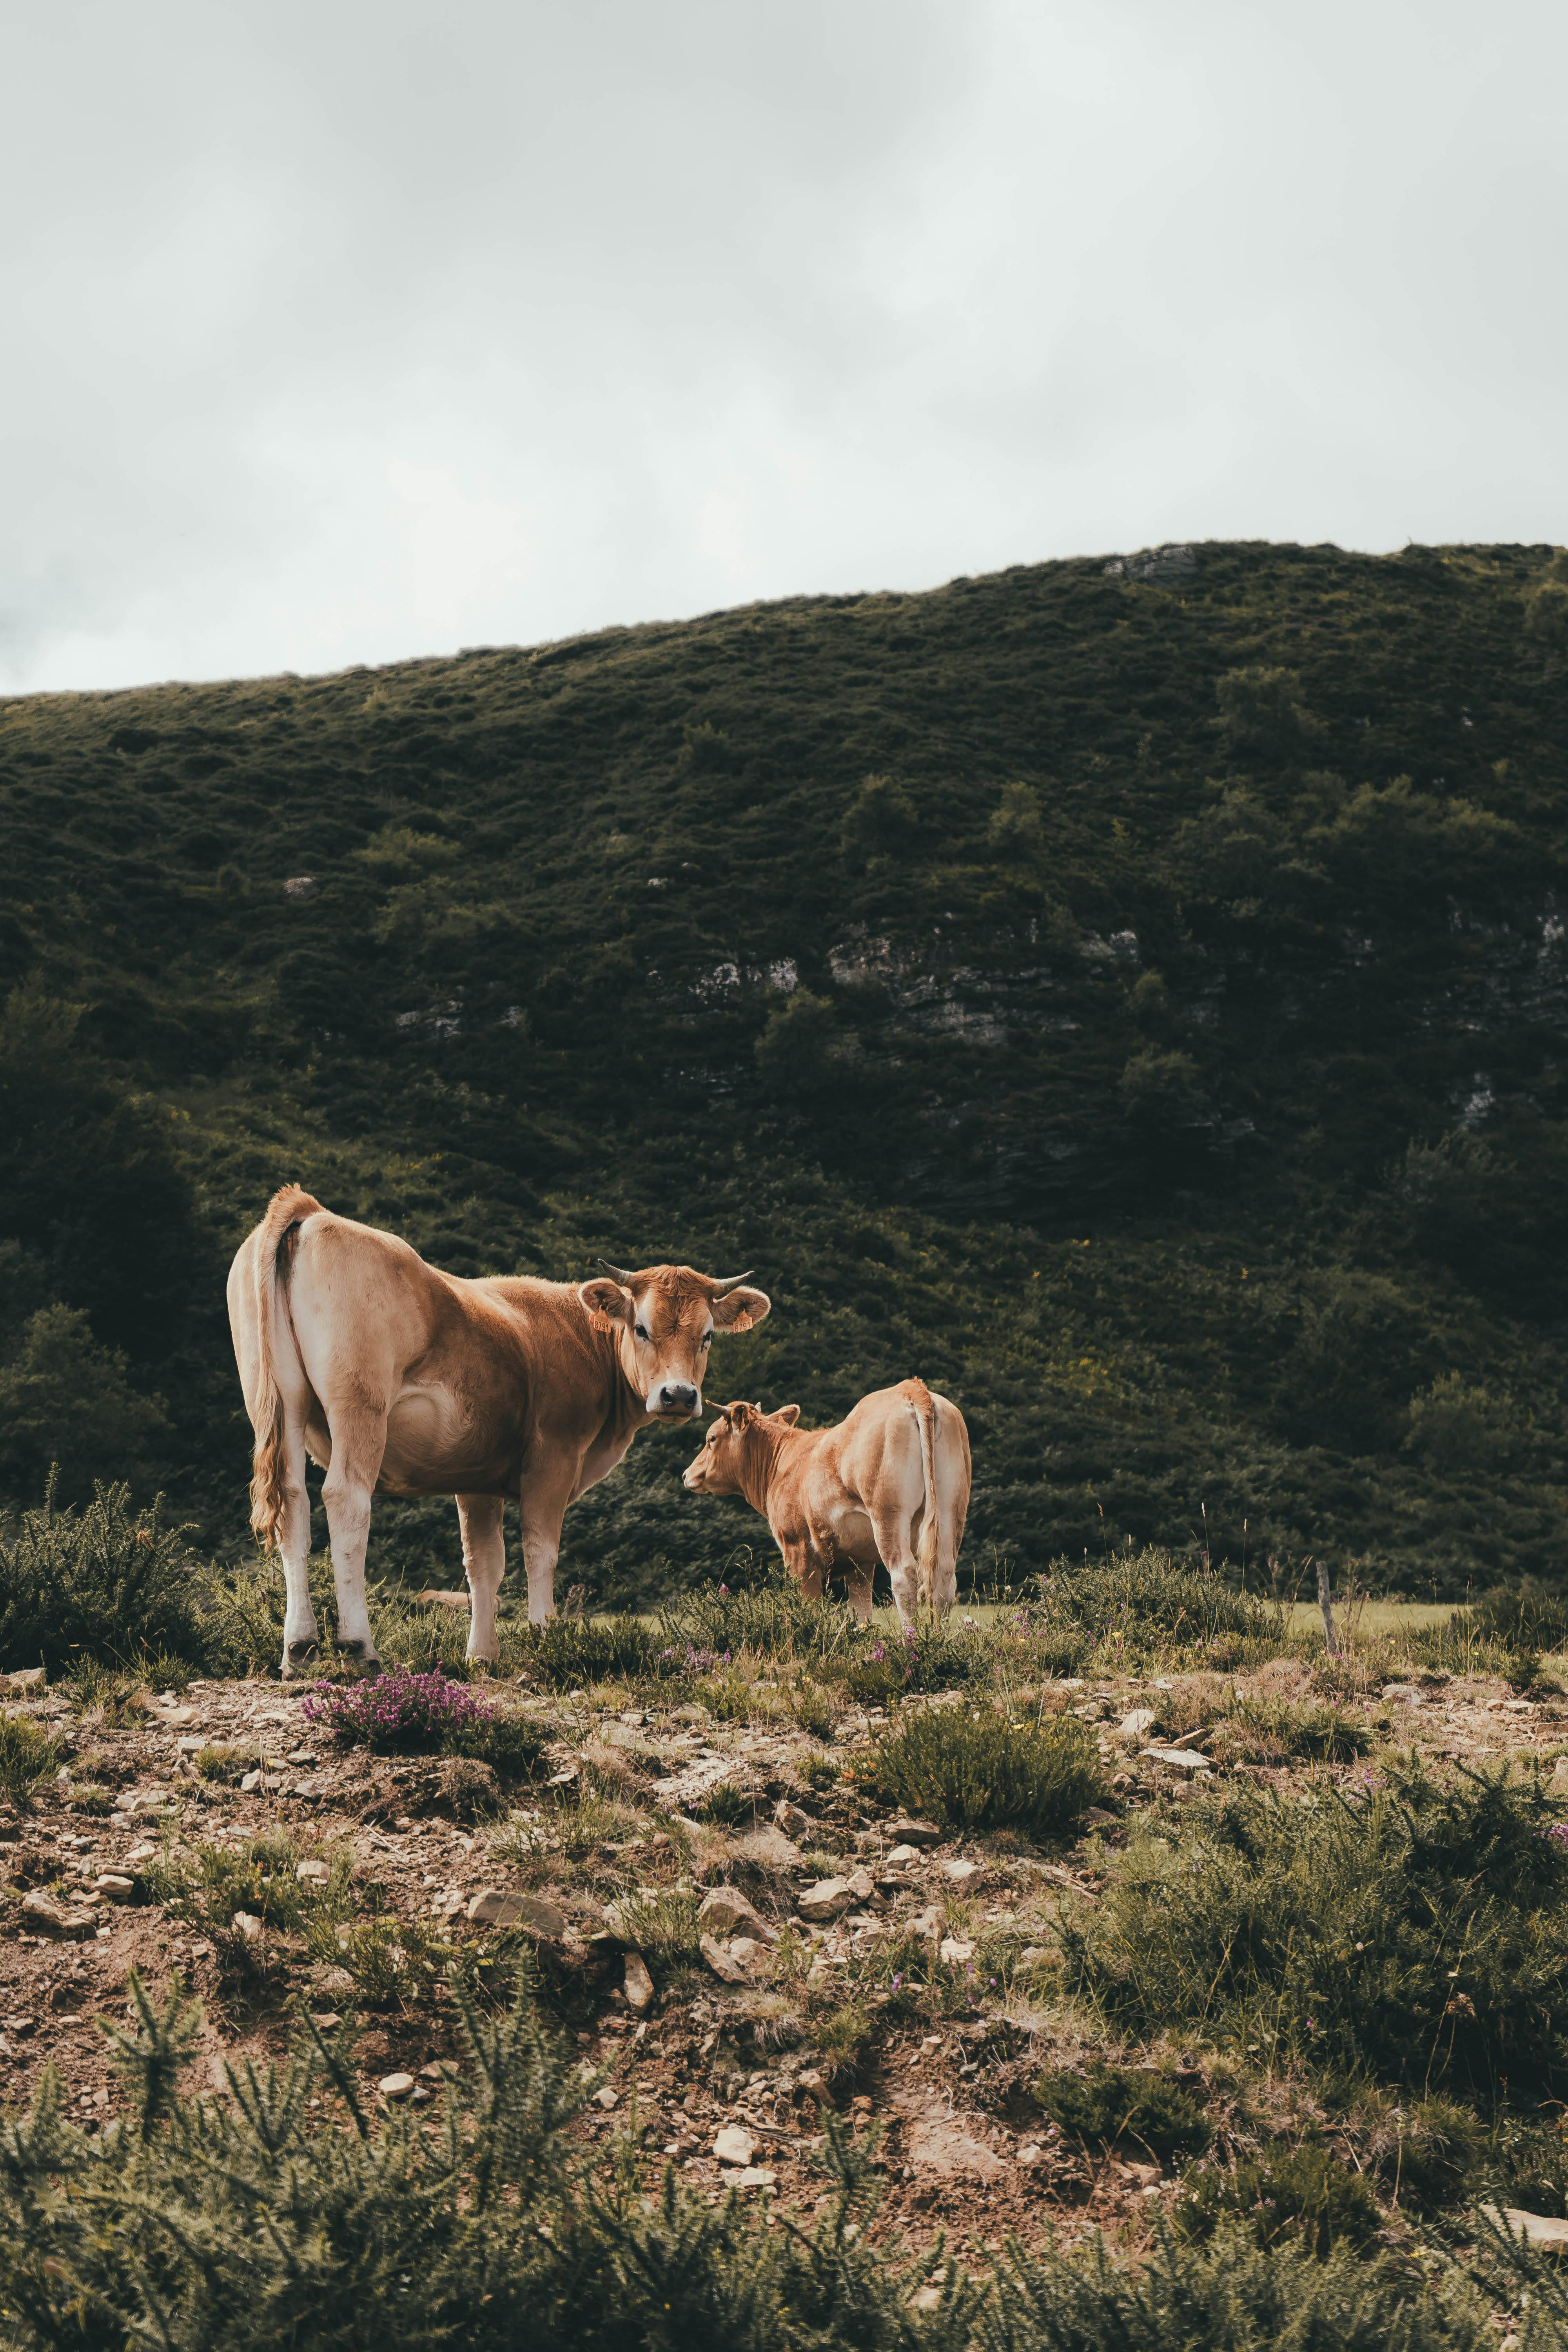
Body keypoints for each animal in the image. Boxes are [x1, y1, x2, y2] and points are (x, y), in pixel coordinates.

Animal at [226, 1184, 770, 1677]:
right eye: (641, 1328)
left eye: (707, 1336)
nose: (678, 1396)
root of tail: (313, 1211)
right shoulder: (554, 1455)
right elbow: (539, 1551)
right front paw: (547, 1639)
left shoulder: (476, 1475)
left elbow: (483, 1563)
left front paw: (482, 1657)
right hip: (358, 1404)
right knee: (345, 1502)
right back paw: (359, 1647)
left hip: (279, 1403)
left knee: (293, 1502)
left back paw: (299, 1649)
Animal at [682, 1379, 971, 1626]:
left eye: (711, 1439)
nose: (687, 1475)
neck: (783, 1461)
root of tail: (910, 1388)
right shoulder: (860, 1562)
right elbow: (861, 1613)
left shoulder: (797, 1549)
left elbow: (808, 1606)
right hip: (951, 1512)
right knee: (944, 1579)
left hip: (889, 1515)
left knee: (904, 1575)